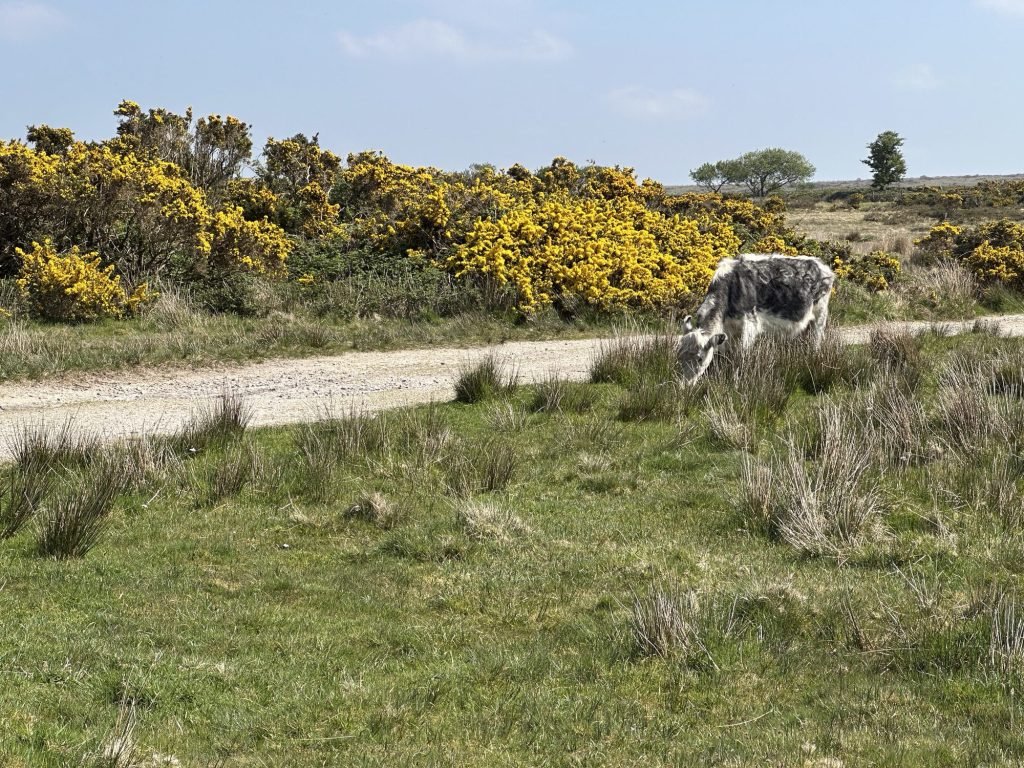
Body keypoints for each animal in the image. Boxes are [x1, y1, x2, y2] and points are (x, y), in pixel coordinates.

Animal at [677, 253, 835, 383]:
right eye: (679, 354)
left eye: (699, 358)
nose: (684, 385)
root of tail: (820, 264)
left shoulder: (749, 324)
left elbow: (741, 355)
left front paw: (736, 379)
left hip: (820, 315)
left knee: (816, 340)